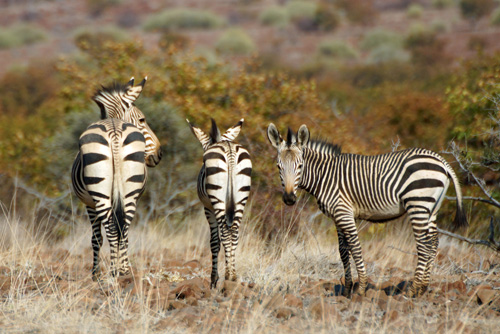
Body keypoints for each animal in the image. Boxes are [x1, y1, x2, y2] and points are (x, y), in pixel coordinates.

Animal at [71, 77, 161, 280]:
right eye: (142, 119)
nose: (159, 154)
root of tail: (114, 130)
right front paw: (119, 268)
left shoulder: (89, 204)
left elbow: (96, 238)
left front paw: (95, 274)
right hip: (129, 193)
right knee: (124, 228)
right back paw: (124, 271)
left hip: (100, 193)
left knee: (112, 229)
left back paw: (113, 272)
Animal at [187, 117, 252, 288]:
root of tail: (229, 148)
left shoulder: (208, 208)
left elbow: (215, 242)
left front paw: (213, 279)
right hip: (241, 197)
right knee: (234, 232)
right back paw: (233, 275)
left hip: (217, 199)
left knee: (224, 232)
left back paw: (228, 275)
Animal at [268, 123, 466, 298]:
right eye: (278, 167)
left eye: (300, 166)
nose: (289, 199)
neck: (325, 176)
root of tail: (441, 160)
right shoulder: (338, 216)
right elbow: (343, 251)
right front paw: (347, 290)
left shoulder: (344, 213)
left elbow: (355, 248)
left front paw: (361, 288)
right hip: (431, 209)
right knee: (433, 243)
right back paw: (423, 288)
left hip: (417, 204)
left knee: (424, 246)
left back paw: (412, 291)